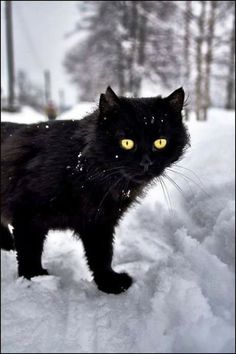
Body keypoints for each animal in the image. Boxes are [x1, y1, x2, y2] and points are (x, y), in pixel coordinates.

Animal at [0, 87, 188, 294]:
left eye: (160, 142)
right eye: (127, 142)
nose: (146, 163)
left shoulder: (99, 223)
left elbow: (102, 255)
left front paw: (108, 282)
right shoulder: (26, 215)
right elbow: (29, 251)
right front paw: (34, 279)